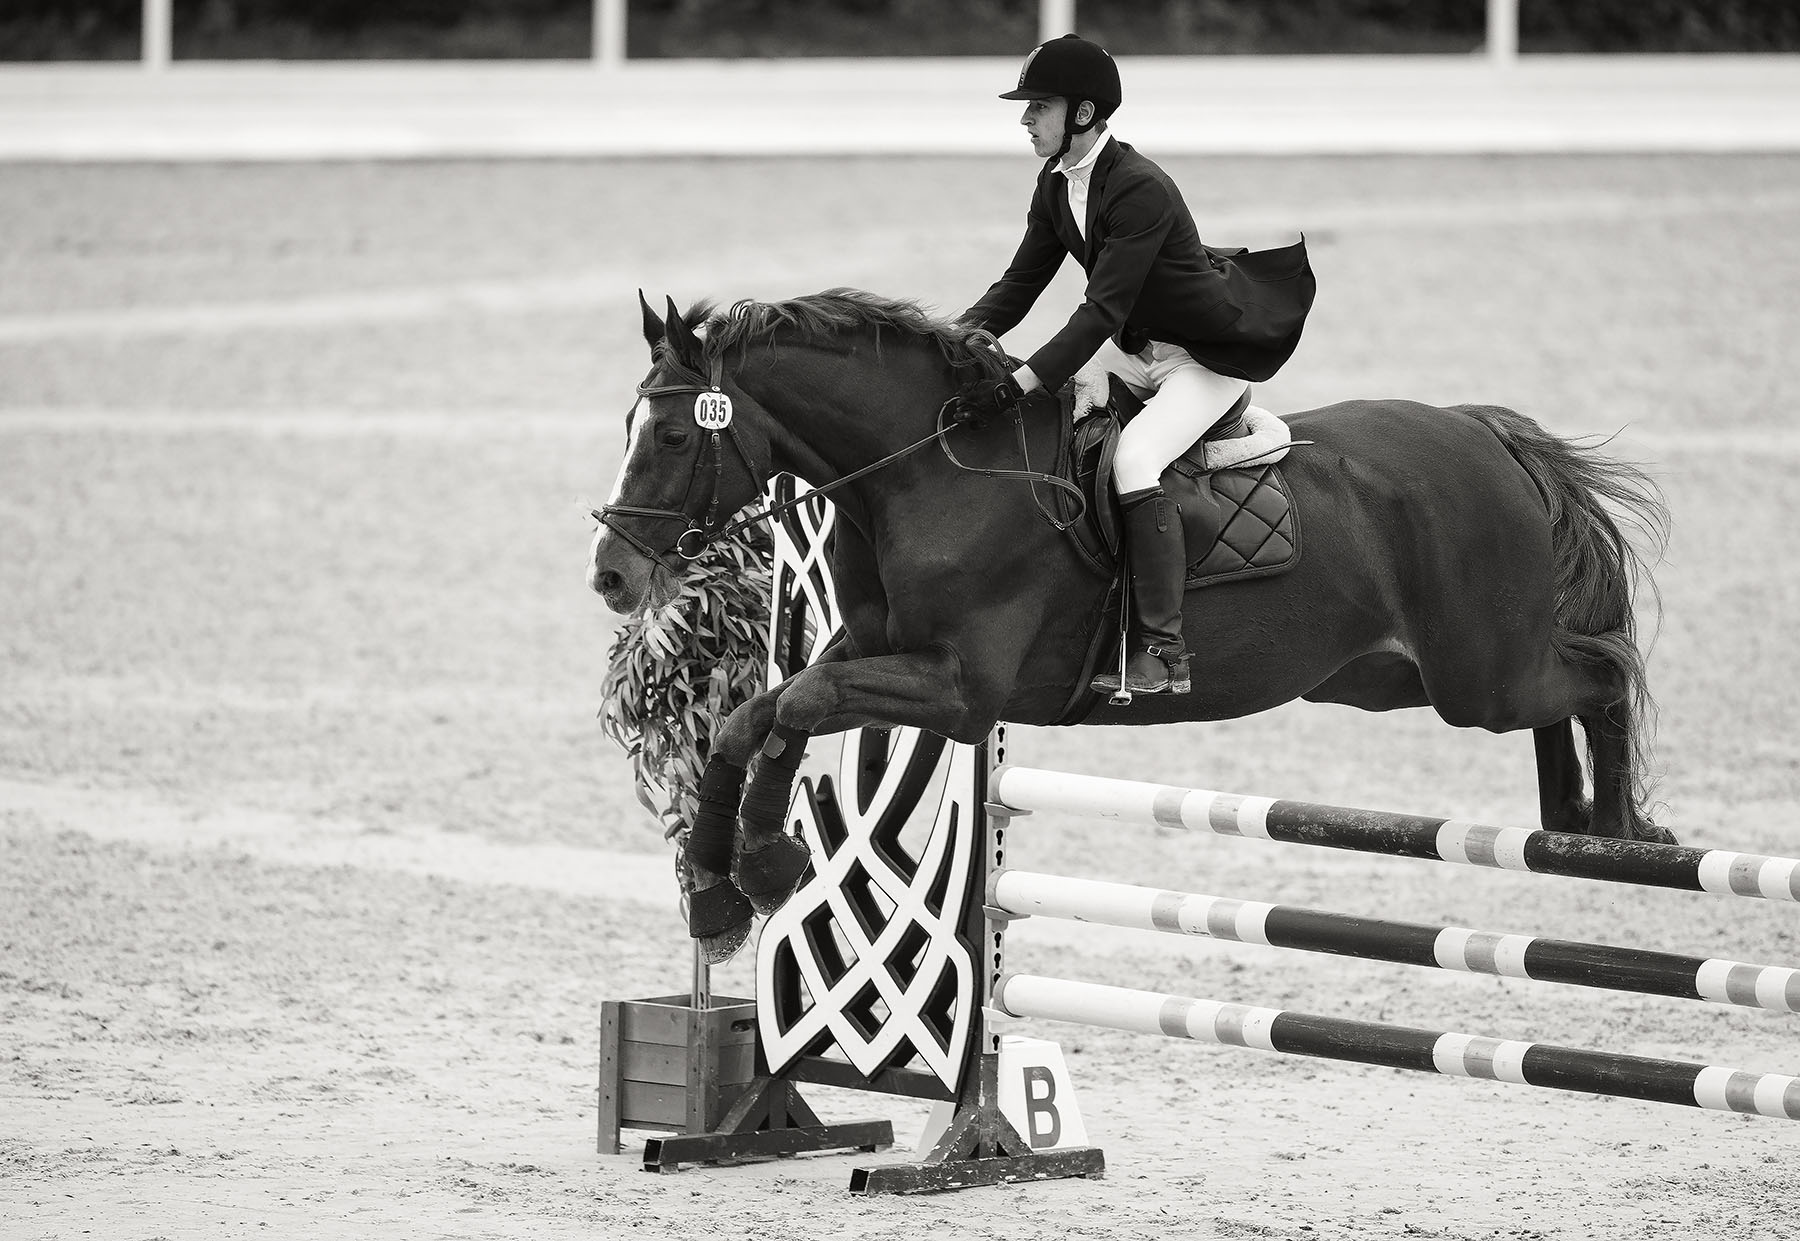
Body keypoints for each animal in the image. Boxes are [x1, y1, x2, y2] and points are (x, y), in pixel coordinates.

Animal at [589, 289, 1671, 958]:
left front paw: (759, 865)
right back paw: (1569, 818)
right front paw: (722, 890)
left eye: (675, 433)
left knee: (1601, 672)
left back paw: (1619, 827)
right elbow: (758, 715)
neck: (926, 474)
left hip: (1479, 674)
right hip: (1396, 676)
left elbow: (799, 702)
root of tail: (1487, 433)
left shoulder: (960, 690)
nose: (611, 573)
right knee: (1566, 694)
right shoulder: (878, 650)